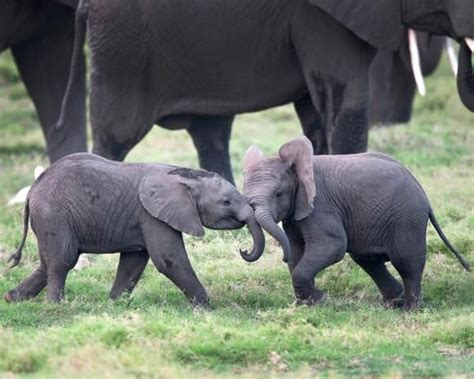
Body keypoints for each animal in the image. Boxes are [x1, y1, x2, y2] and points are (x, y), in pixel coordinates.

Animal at [5, 154, 264, 306]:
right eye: (226, 202)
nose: (244, 250)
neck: (185, 175)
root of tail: (32, 189)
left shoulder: (144, 218)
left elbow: (134, 261)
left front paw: (114, 305)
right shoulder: (152, 215)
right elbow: (169, 260)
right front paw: (207, 308)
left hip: (51, 219)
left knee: (49, 262)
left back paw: (13, 299)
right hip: (54, 214)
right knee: (62, 261)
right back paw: (55, 307)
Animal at [60, 0, 474, 184]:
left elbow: (316, 111)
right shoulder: (322, 16)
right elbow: (346, 100)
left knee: (211, 130)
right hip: (124, 48)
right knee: (118, 134)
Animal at [244, 137, 470, 312]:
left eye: (278, 194)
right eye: (245, 197)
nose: (244, 251)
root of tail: (421, 190)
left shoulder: (321, 206)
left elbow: (333, 246)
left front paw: (320, 300)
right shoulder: (296, 214)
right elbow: (298, 251)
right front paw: (308, 304)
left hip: (408, 217)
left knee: (407, 262)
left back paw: (410, 310)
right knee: (368, 260)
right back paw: (393, 303)